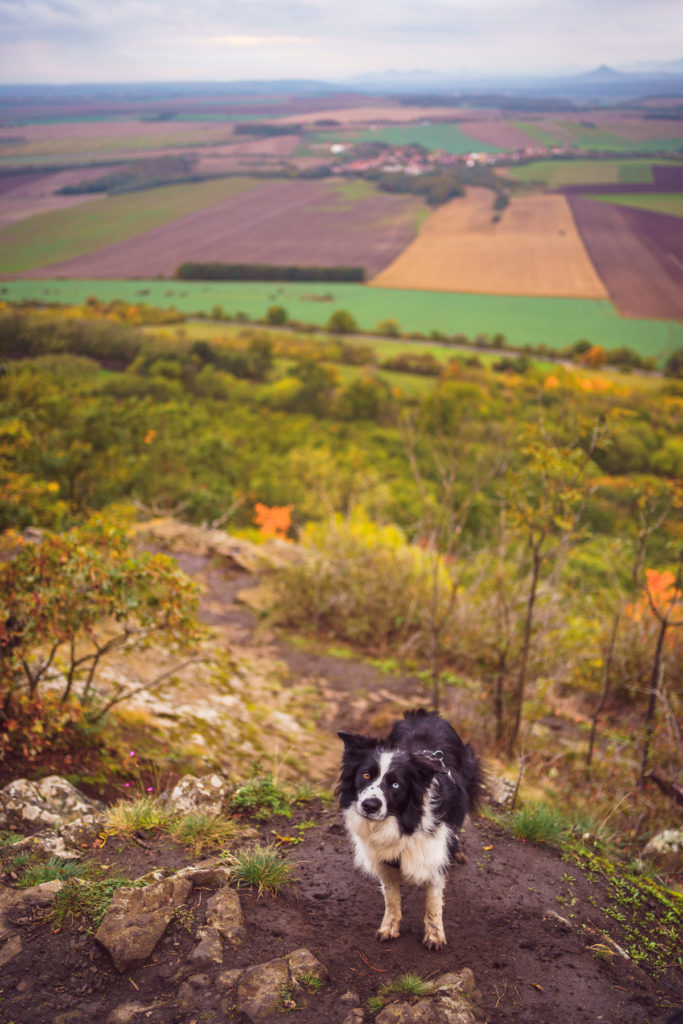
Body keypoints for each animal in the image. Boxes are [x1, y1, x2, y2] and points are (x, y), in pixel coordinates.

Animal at [337, 708, 481, 946]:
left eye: (396, 785)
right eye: (366, 775)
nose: (369, 806)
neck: (403, 823)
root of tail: (424, 713)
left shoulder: (434, 854)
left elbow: (433, 900)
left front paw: (435, 936)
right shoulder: (383, 860)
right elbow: (391, 897)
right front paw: (389, 927)